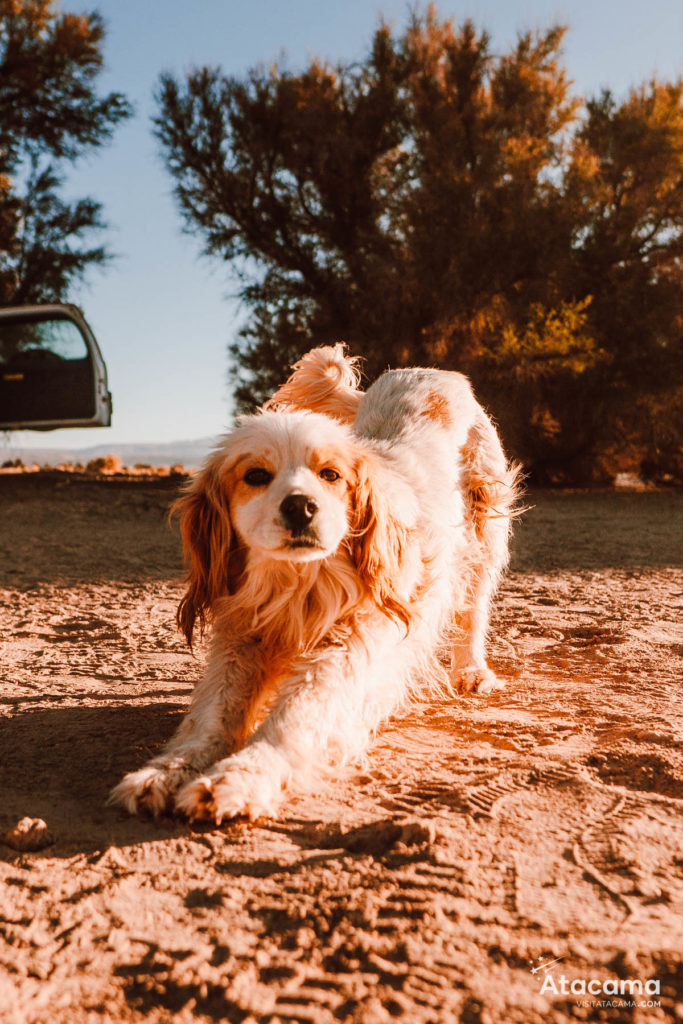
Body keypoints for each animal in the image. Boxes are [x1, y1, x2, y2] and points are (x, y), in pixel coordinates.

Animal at [111, 346, 518, 823]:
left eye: (330, 475)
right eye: (256, 475)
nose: (301, 507)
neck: (299, 581)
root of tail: (426, 371)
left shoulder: (352, 643)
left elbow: (296, 713)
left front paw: (243, 777)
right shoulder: (244, 636)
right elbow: (212, 714)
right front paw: (167, 769)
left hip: (484, 532)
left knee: (472, 610)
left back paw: (472, 671)